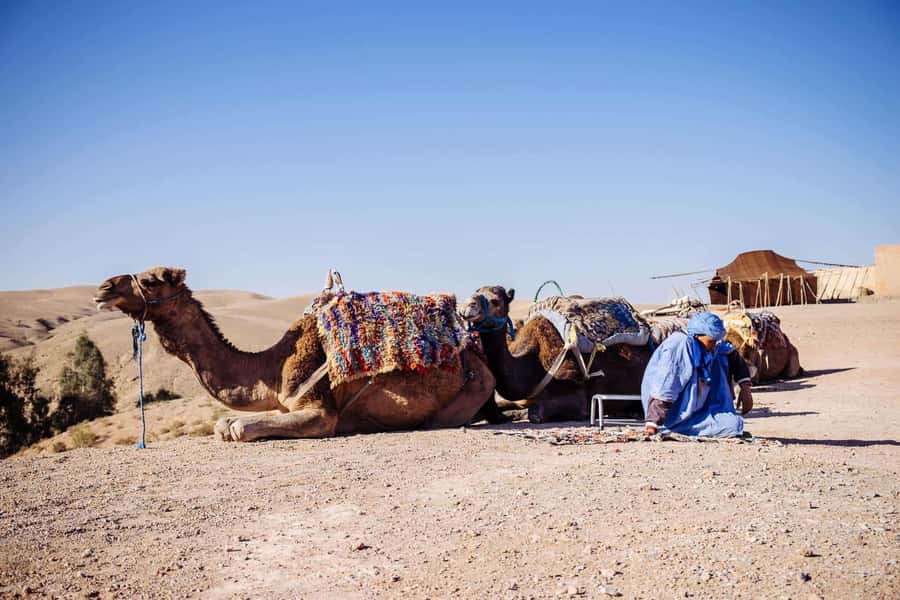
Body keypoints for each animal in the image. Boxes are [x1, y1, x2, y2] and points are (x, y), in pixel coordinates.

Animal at [93, 267, 497, 441]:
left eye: (149, 280)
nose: (103, 288)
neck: (271, 365)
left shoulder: (318, 410)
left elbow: (238, 427)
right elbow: (224, 423)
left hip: (468, 392)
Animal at [460, 286, 651, 423]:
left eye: (495, 301)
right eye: (474, 293)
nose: (467, 306)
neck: (531, 365)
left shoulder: (576, 393)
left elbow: (535, 414)